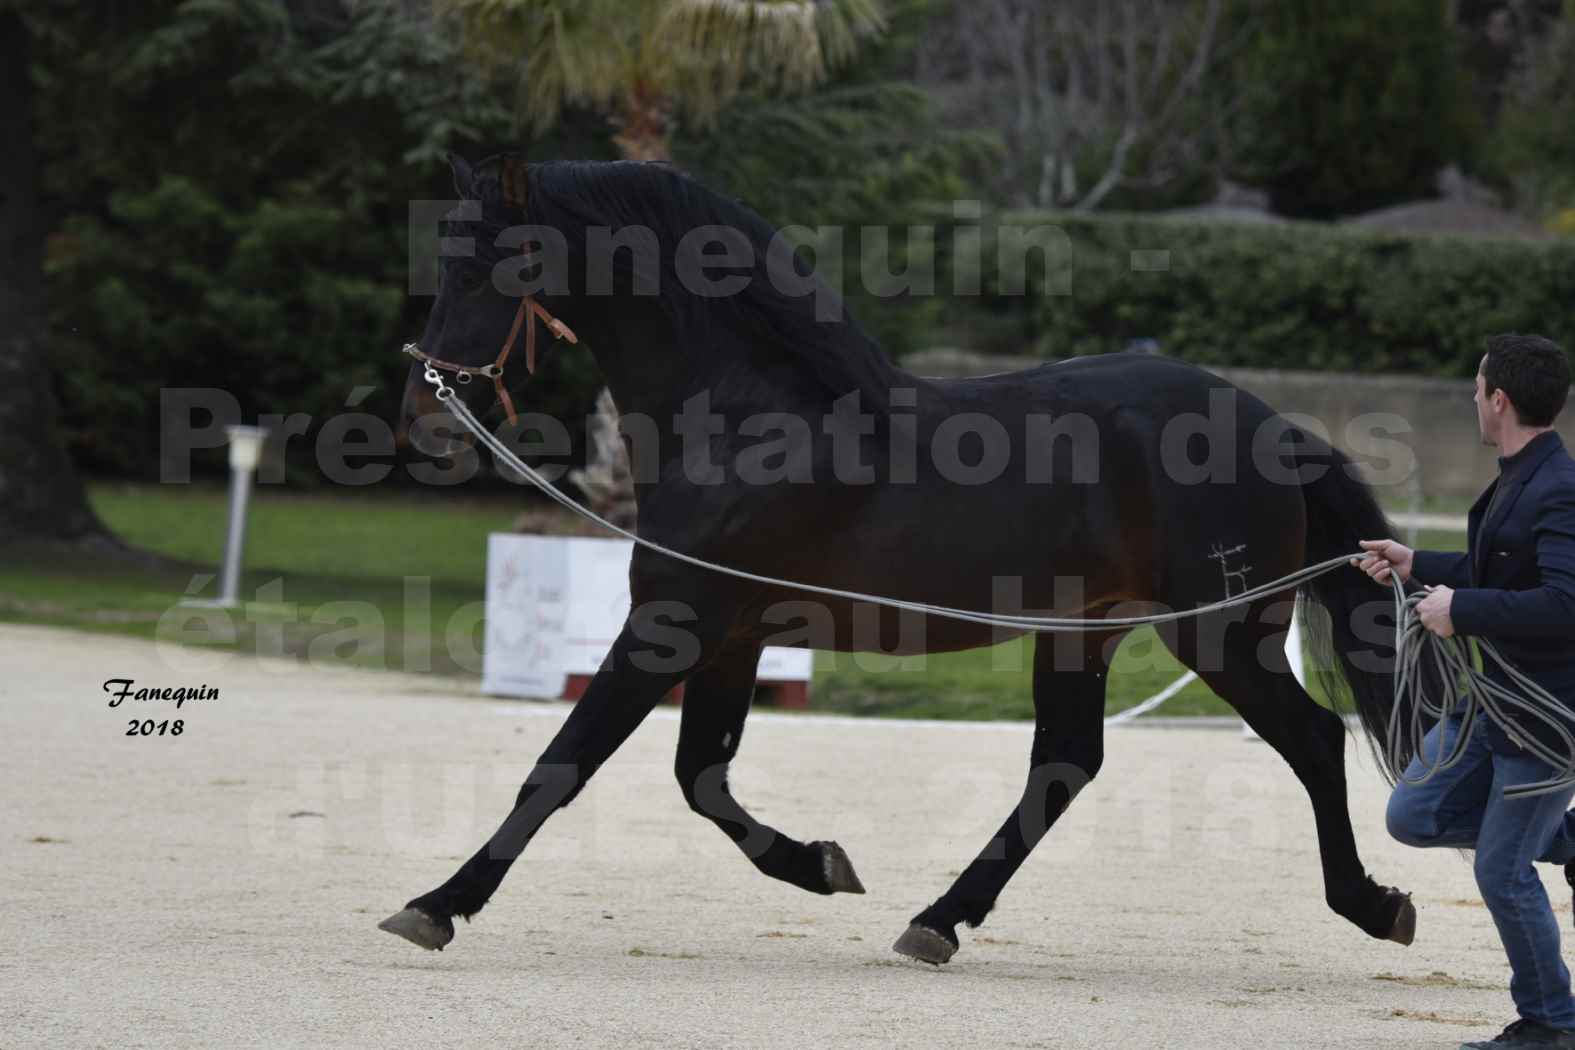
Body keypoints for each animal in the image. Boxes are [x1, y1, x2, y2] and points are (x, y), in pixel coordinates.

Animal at [387, 151, 1423, 963]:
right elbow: (701, 778)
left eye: (503, 261)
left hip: (1220, 638)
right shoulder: (731, 638)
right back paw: (938, 920)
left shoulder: (669, 625)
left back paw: (1374, 907)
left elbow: (563, 765)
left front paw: (436, 905)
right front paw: (820, 866)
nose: (430, 418)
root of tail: (1274, 426)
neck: (749, 417)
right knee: (1064, 764)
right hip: (1083, 632)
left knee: (1310, 740)